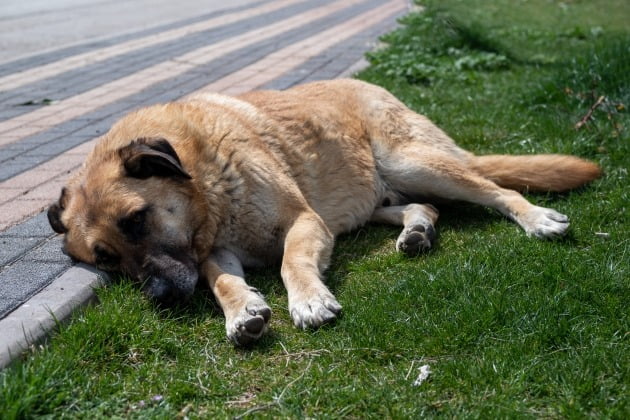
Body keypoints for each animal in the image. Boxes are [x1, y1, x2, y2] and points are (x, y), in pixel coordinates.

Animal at [48, 79, 604, 344]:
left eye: (136, 220)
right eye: (106, 259)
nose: (160, 299)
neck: (206, 182)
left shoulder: (303, 222)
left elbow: (291, 262)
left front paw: (309, 301)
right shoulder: (217, 252)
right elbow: (220, 280)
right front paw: (242, 312)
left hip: (411, 161)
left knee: (494, 189)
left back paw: (537, 218)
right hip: (366, 200)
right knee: (421, 206)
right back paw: (417, 231)